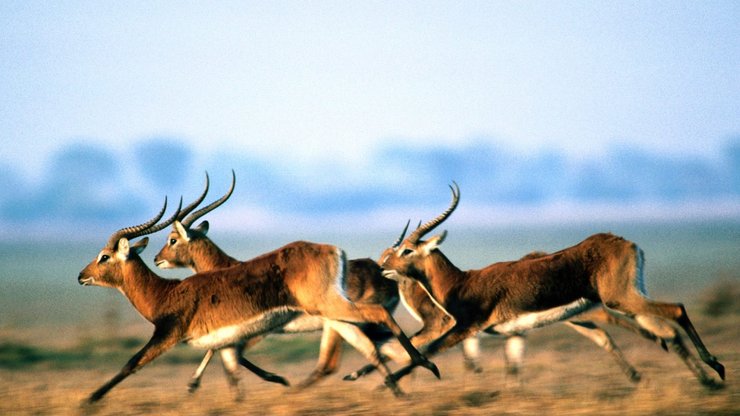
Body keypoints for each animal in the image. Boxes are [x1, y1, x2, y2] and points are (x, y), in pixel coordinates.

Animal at [77, 199, 436, 404]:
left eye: (104, 256)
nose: (81, 276)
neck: (166, 293)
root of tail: (336, 251)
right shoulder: (226, 343)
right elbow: (235, 378)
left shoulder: (168, 335)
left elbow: (131, 363)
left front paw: (90, 399)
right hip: (337, 320)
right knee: (372, 350)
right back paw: (399, 389)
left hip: (333, 310)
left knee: (377, 330)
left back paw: (422, 368)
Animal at [378, 184, 724, 388]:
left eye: (407, 250)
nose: (382, 266)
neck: (461, 282)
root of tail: (625, 242)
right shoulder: (511, 333)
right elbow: (512, 373)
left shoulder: (467, 326)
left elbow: (426, 350)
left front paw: (391, 383)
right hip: (628, 299)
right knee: (666, 330)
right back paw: (707, 381)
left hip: (619, 299)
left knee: (676, 310)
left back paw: (716, 368)